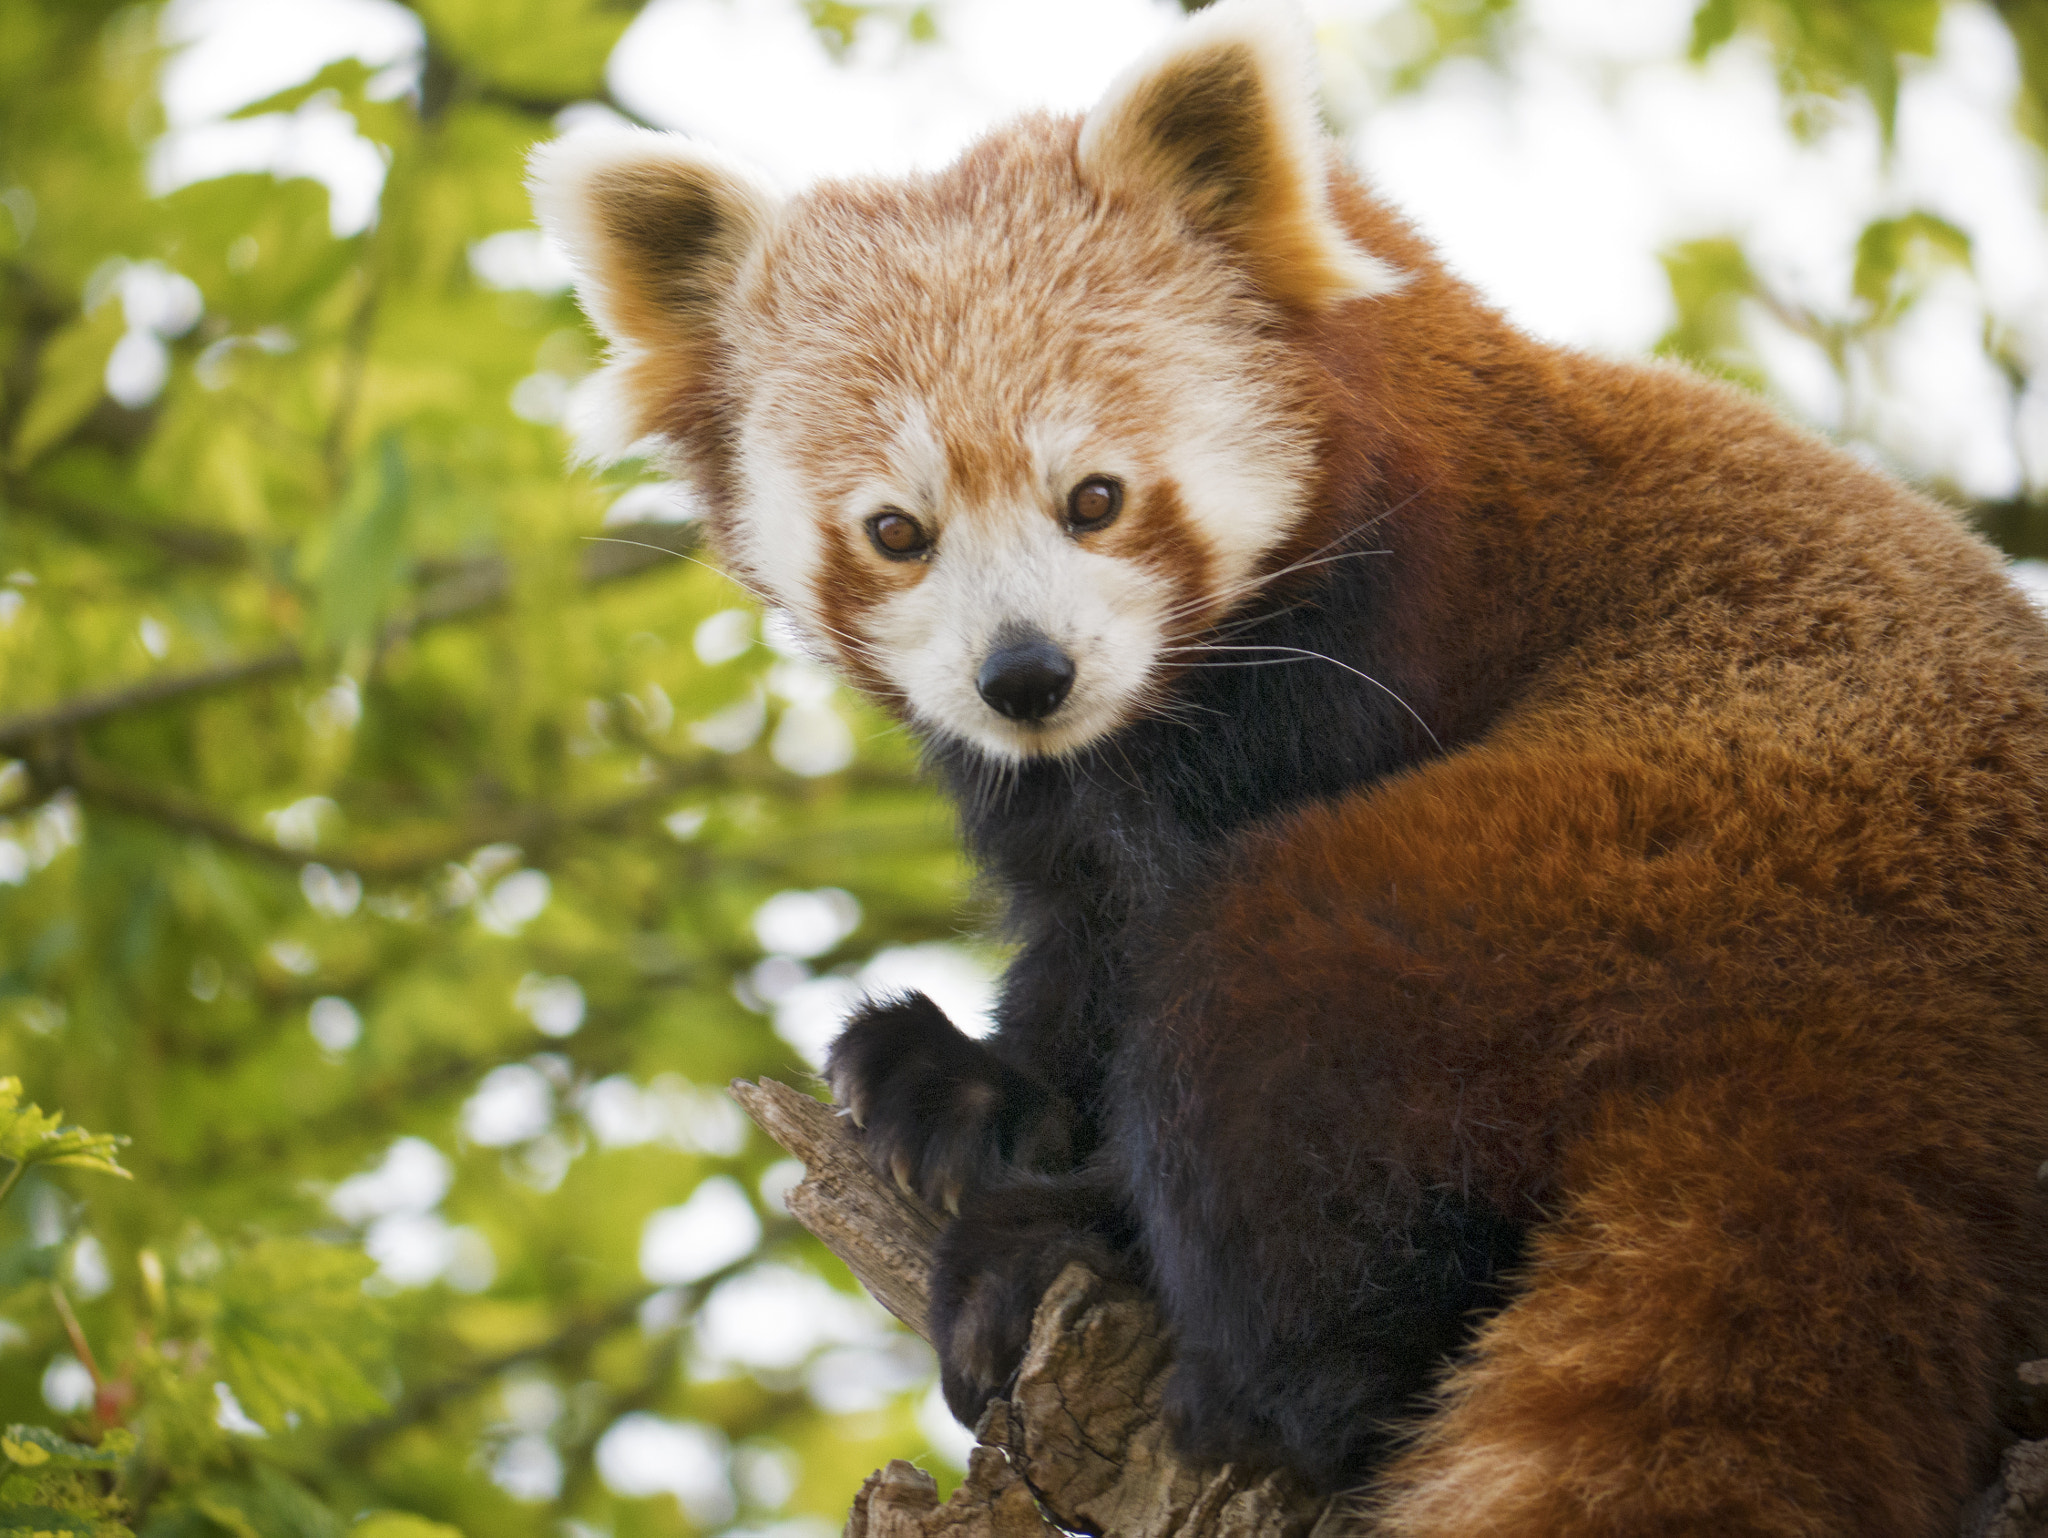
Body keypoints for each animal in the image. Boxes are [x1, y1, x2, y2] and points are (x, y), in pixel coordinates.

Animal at [524, 6, 2048, 1531]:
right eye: (897, 531)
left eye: (1095, 499)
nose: (1025, 675)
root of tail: (1906, 1041)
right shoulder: (1060, 797)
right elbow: (1083, 937)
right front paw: (964, 1085)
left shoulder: (1366, 662)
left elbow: (1171, 950)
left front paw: (1043, 1183)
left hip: (1650, 853)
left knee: (1272, 991)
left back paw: (1181, 1335)